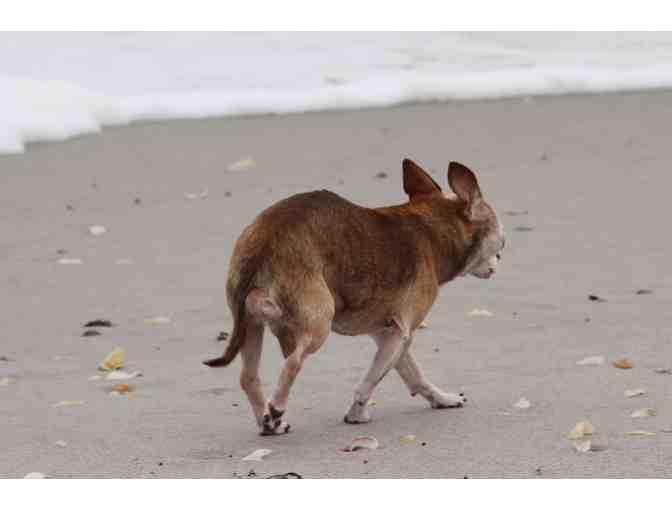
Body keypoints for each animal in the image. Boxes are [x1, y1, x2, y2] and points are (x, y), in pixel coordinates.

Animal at [205, 158, 504, 434]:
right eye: (501, 241)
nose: (500, 258)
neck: (430, 229)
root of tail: (265, 246)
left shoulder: (389, 335)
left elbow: (413, 374)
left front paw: (442, 399)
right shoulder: (401, 334)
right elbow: (369, 383)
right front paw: (357, 414)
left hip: (250, 326)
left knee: (248, 376)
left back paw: (269, 423)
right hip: (318, 327)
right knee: (293, 362)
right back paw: (276, 408)